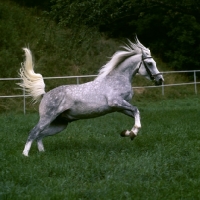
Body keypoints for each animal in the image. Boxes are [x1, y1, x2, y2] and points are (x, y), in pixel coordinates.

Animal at [17, 37, 164, 156]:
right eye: (150, 63)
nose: (160, 80)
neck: (118, 80)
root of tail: (45, 94)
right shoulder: (116, 102)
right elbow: (136, 110)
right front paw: (133, 132)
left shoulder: (120, 107)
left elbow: (135, 113)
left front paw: (129, 133)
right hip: (47, 118)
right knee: (33, 132)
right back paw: (25, 155)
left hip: (60, 124)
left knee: (40, 135)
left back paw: (42, 152)